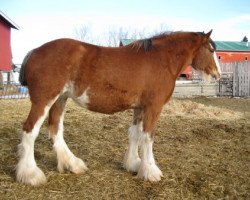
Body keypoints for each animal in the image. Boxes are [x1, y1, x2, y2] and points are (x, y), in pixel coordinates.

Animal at [16, 30, 221, 186]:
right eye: (211, 50)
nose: (218, 74)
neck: (162, 60)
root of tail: (34, 51)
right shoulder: (153, 108)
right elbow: (148, 137)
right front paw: (151, 171)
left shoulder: (139, 108)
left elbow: (135, 134)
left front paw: (134, 164)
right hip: (44, 100)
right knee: (30, 131)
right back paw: (30, 174)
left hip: (60, 99)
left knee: (55, 130)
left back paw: (72, 164)